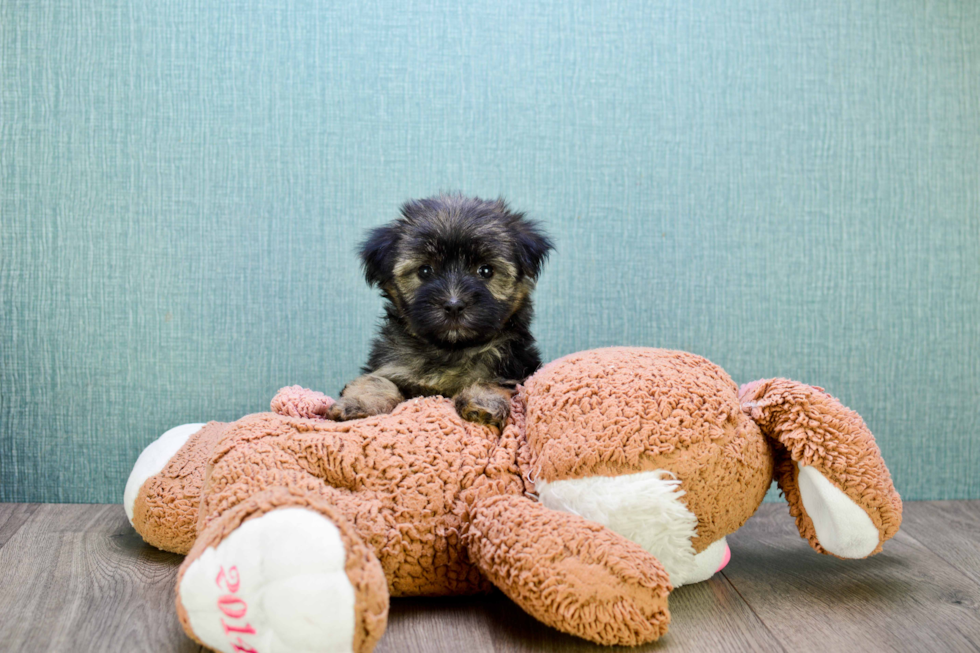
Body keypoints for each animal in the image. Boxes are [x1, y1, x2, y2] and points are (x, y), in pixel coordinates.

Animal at [330, 194, 556, 428]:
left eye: (486, 270)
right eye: (425, 271)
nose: (453, 305)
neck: (450, 349)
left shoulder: (514, 366)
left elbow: (493, 380)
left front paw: (483, 402)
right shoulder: (390, 365)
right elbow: (376, 380)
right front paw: (359, 403)